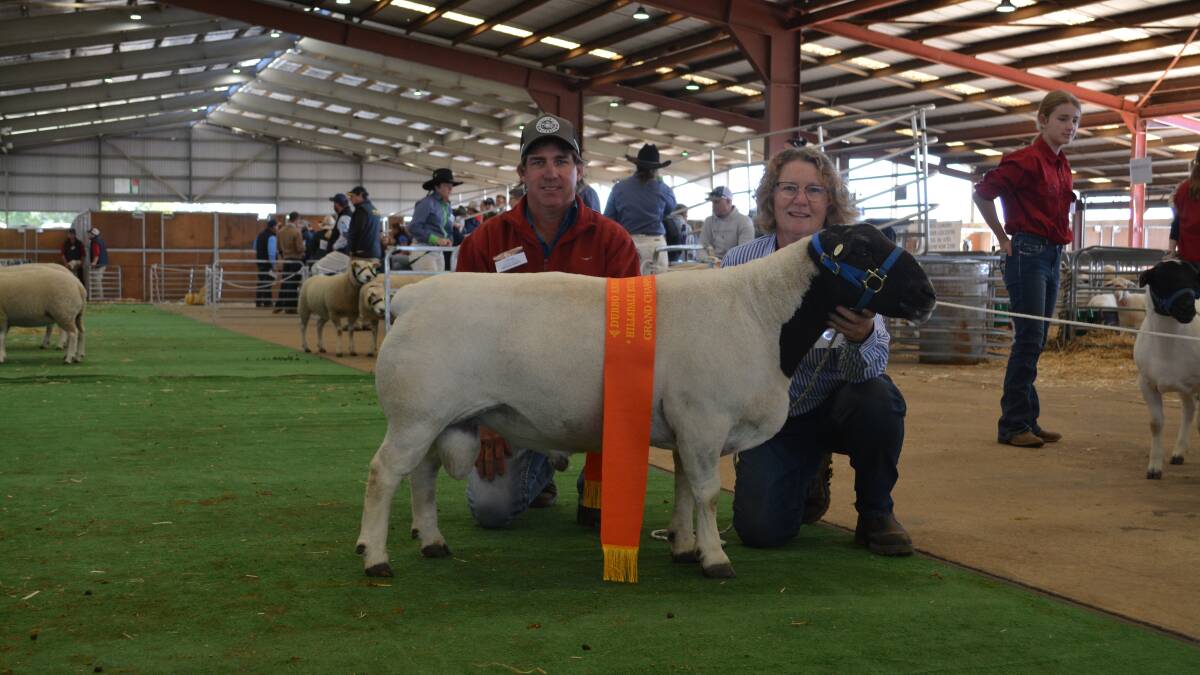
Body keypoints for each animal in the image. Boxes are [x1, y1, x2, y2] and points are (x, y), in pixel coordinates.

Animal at [355, 223, 937, 579]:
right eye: (862, 249)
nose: (928, 294)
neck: (761, 312)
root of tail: (411, 297)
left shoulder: (686, 427)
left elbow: (683, 489)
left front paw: (683, 547)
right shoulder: (704, 419)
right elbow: (707, 493)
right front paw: (715, 559)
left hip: (433, 417)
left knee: (423, 475)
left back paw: (431, 542)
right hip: (416, 413)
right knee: (383, 474)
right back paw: (375, 557)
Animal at [1133, 260, 1200, 479]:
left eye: (1193, 279)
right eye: (1163, 279)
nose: (1188, 308)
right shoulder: (1146, 384)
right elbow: (1156, 424)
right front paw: (1154, 468)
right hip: (1185, 387)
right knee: (1189, 410)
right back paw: (1178, 452)